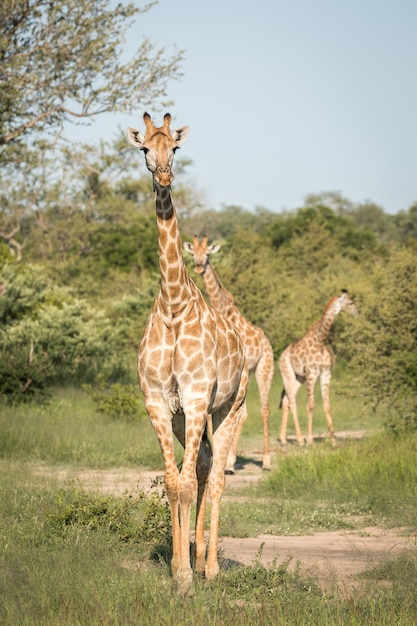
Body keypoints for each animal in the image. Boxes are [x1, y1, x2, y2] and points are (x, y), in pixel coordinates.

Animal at [182, 236, 272, 470]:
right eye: (192, 253)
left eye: (207, 254)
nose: (198, 265)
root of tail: (267, 342)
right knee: (246, 412)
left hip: (263, 368)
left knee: (263, 409)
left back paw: (265, 461)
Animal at [278, 290, 356, 446]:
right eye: (350, 303)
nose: (358, 312)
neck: (320, 341)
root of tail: (281, 355)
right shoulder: (311, 374)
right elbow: (311, 405)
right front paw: (310, 441)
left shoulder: (326, 374)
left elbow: (327, 405)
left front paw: (334, 442)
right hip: (287, 374)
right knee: (292, 401)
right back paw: (300, 440)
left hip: (299, 378)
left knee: (286, 400)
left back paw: (283, 439)